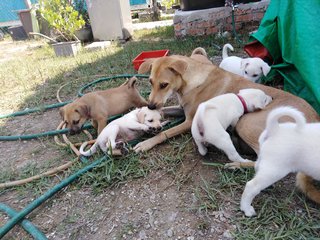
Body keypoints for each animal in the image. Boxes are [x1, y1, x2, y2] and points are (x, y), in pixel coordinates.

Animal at [134, 52, 320, 204]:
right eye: (150, 82)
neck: (192, 80)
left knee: (260, 160)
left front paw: (145, 143)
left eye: (164, 85)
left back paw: (237, 164)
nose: (151, 105)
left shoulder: (189, 121)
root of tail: (313, 119)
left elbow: (165, 133)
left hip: (246, 122)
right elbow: (162, 113)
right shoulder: (180, 109)